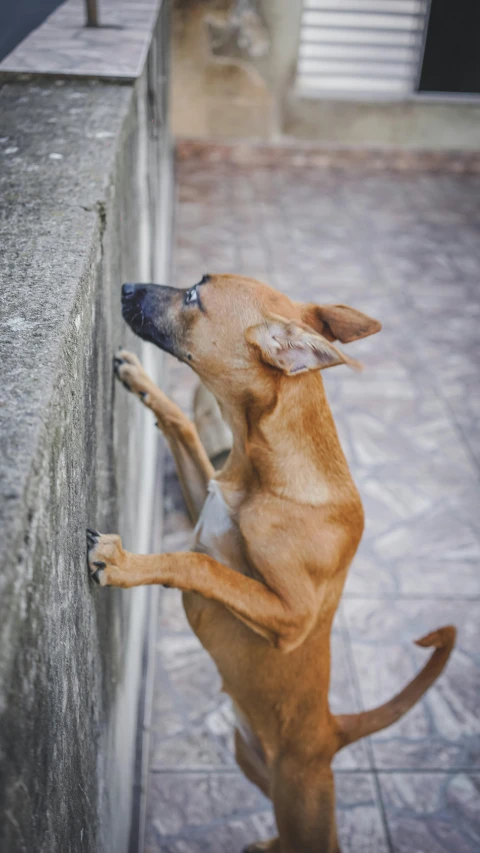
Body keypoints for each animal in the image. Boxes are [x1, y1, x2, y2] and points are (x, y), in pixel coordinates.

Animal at [85, 276, 454, 848]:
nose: (126, 286)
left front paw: (124, 562)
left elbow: (199, 566)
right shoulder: (207, 499)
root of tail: (330, 731)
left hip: (303, 807)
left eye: (193, 297)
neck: (272, 464)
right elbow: (185, 429)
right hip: (249, 759)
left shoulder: (291, 619)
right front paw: (142, 381)